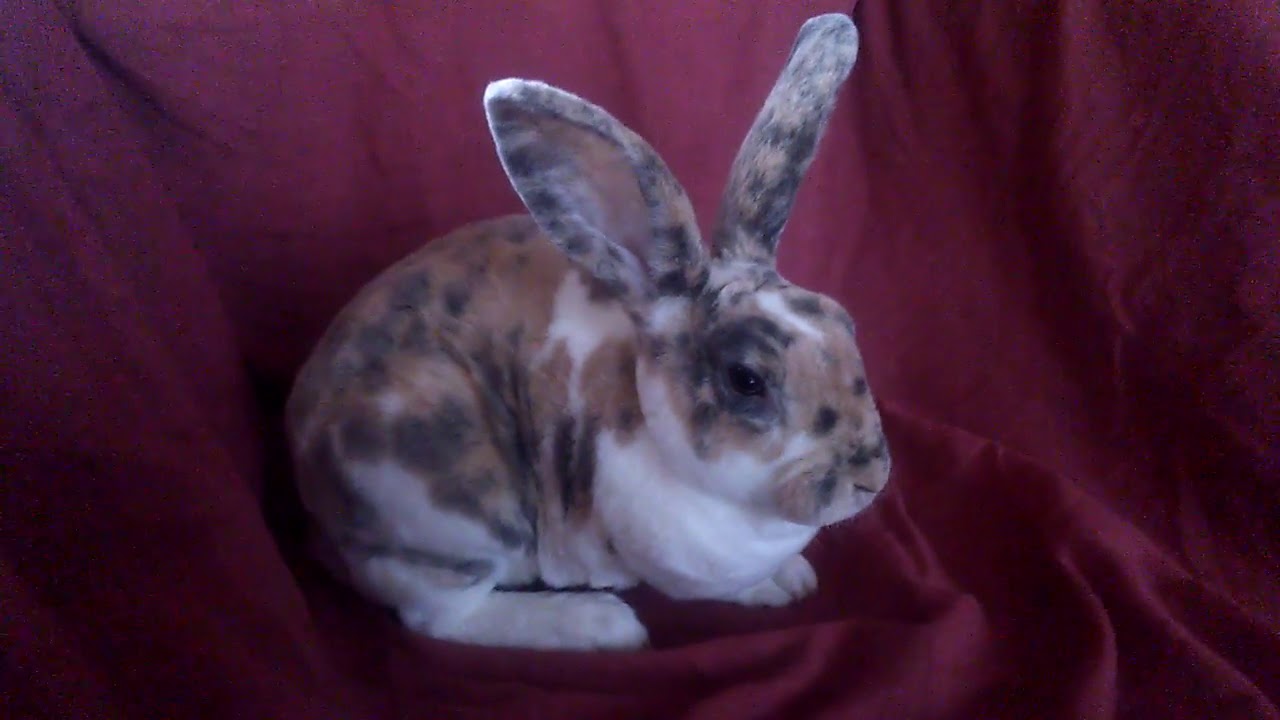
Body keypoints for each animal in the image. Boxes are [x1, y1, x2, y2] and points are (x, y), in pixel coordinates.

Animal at [285, 13, 889, 651]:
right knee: (441, 616)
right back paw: (599, 623)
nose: (871, 480)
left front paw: (790, 580)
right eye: (746, 378)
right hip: (457, 510)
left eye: (843, 319)